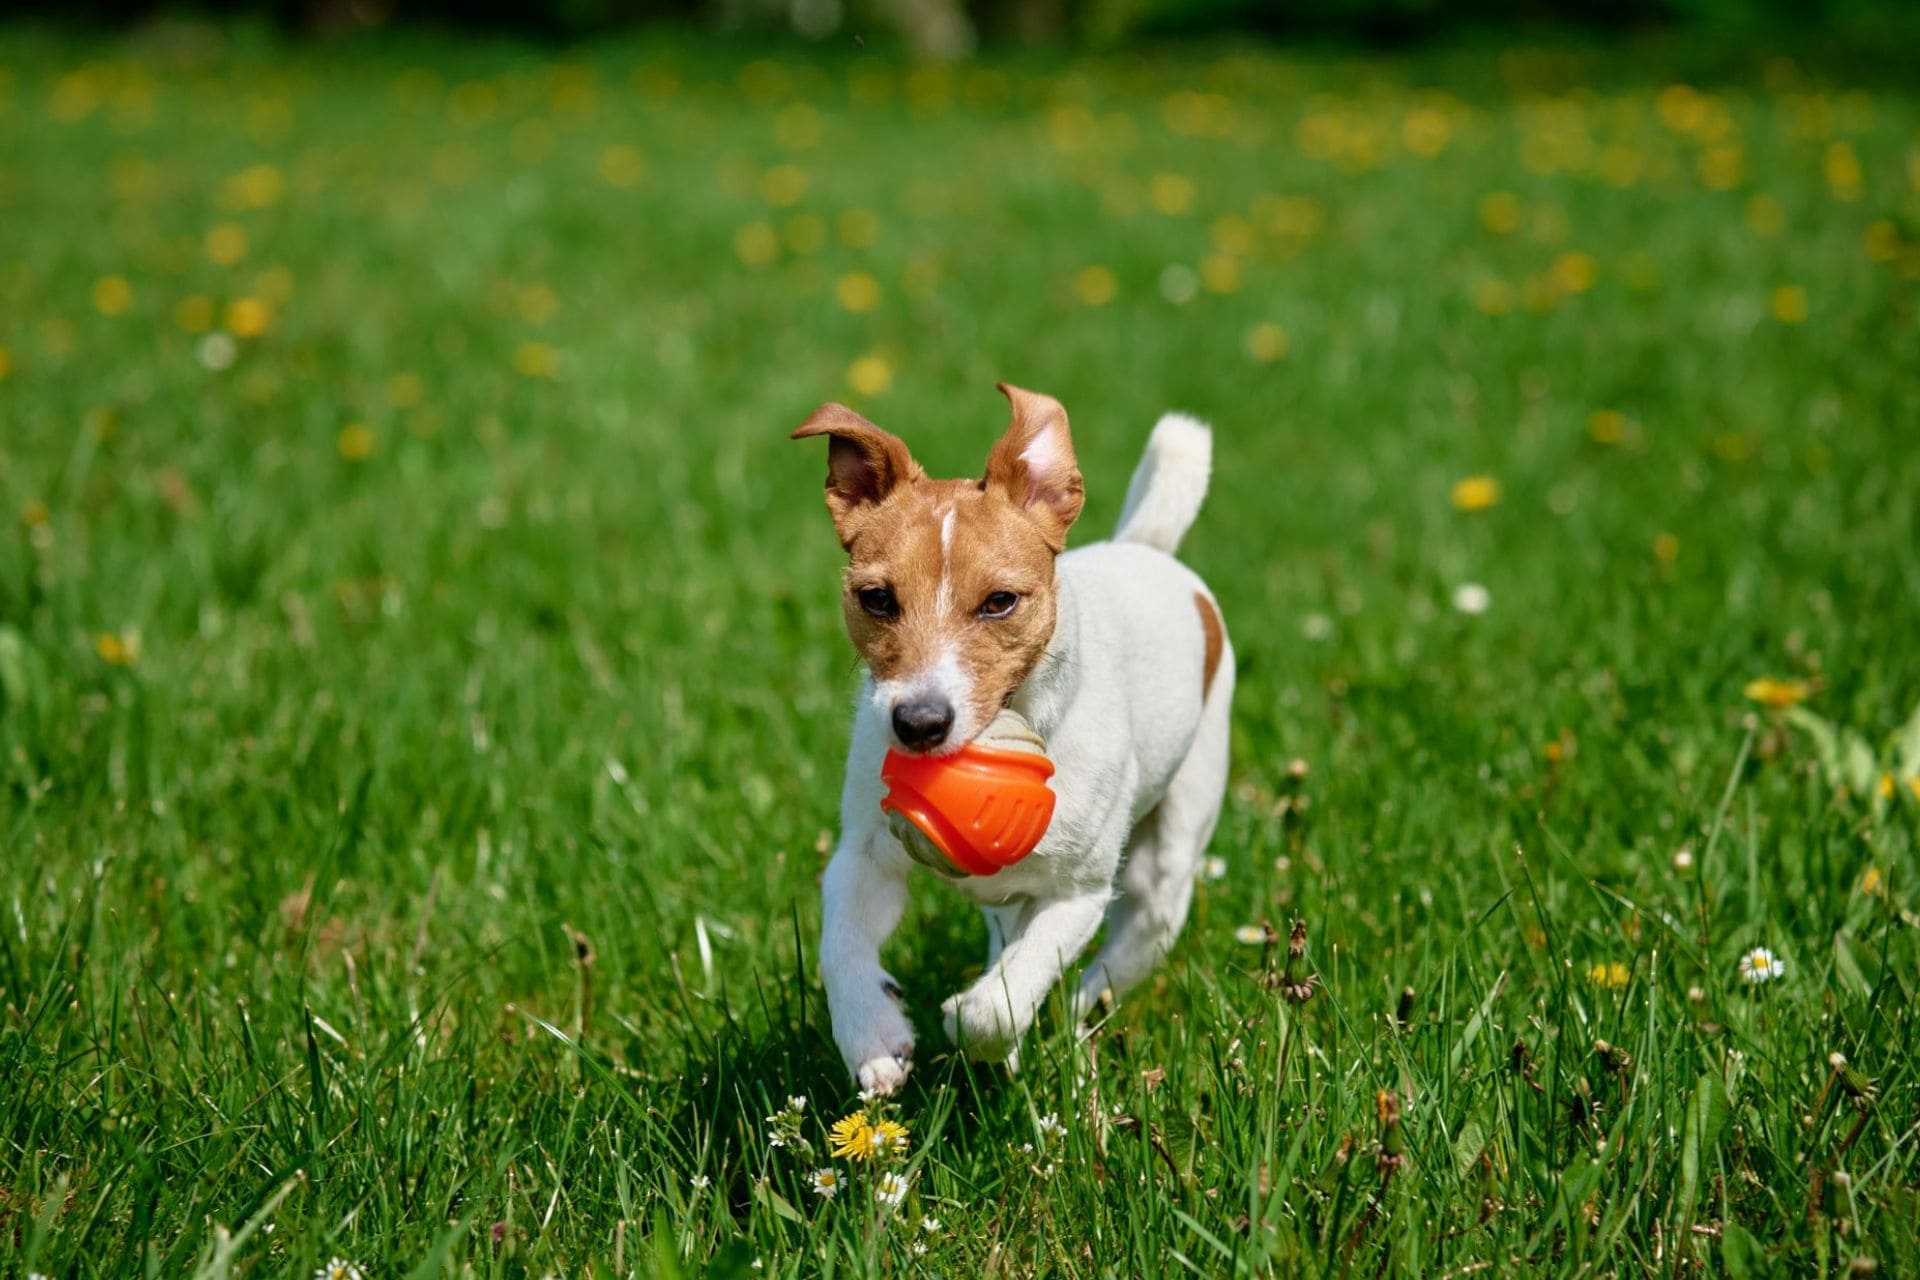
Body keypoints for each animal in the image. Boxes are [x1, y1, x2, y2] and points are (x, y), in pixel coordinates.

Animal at [791, 378, 1228, 1090]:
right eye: (877, 598)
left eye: (1000, 602)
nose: (919, 724)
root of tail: (1148, 548)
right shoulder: (865, 856)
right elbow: (842, 945)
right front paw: (873, 1034)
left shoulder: (1078, 894)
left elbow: (998, 1005)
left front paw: (976, 1019)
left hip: (1163, 883)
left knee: (1097, 977)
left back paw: (1073, 1032)